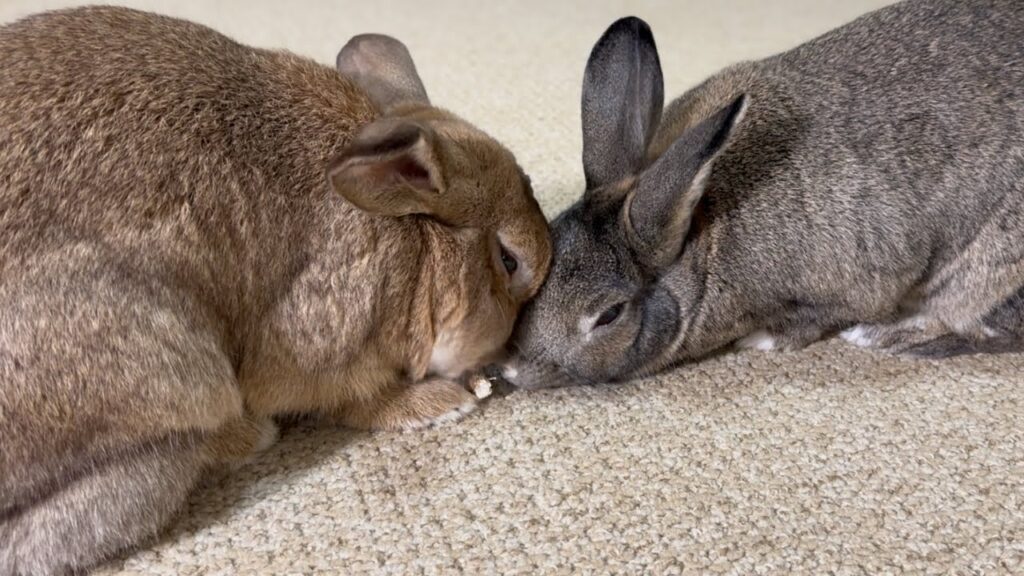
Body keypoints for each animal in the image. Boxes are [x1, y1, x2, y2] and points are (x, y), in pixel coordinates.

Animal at [0, 6, 550, 575]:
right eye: (510, 261)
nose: (497, 356)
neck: (417, 242)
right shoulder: (321, 349)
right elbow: (356, 400)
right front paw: (442, 403)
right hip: (174, 369)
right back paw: (253, 435)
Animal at [501, 0, 1024, 390]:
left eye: (609, 315)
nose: (512, 369)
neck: (702, 239)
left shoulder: (850, 283)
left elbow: (817, 317)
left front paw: (764, 341)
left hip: (985, 269)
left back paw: (889, 338)